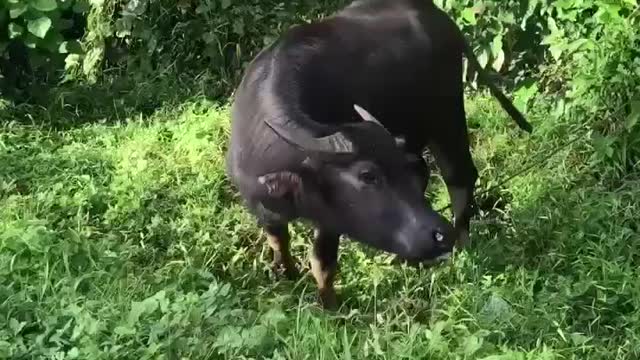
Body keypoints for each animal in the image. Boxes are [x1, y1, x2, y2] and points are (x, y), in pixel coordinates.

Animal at [224, 0, 528, 310]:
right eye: (368, 176)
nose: (442, 236)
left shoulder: (331, 221)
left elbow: (322, 262)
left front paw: (329, 306)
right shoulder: (262, 207)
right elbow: (277, 240)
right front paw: (284, 272)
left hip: (446, 115)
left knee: (459, 177)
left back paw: (463, 248)